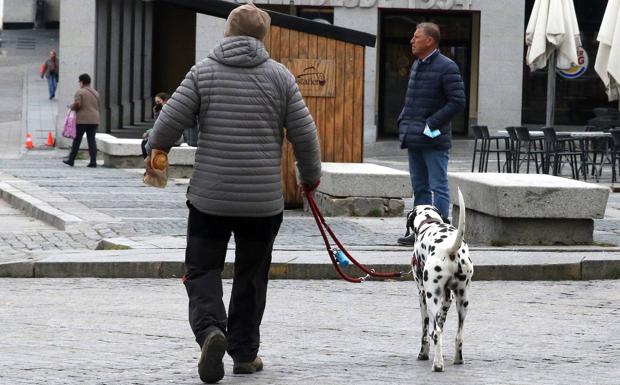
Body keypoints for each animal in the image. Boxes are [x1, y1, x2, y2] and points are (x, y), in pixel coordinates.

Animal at [410, 188, 472, 370]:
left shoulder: (422, 295)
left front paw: (423, 354)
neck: (430, 223)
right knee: (458, 336)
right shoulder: (448, 298)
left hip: (432, 297)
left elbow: (426, 331)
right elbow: (440, 325)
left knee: (436, 332)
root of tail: (450, 249)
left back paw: (438, 365)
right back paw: (457, 359)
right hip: (462, 301)